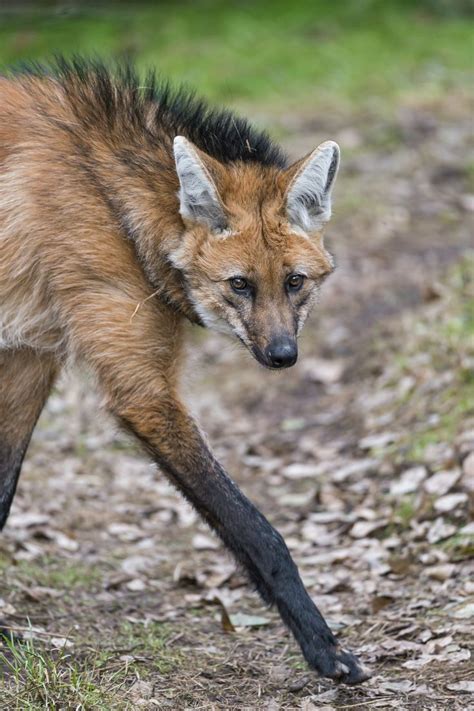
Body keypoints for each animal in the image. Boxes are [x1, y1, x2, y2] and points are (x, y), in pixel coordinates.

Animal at [0, 59, 370, 684]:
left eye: (294, 281)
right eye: (239, 284)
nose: (282, 355)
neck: (116, 205)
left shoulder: (30, 354)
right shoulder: (142, 392)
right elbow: (256, 530)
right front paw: (327, 650)